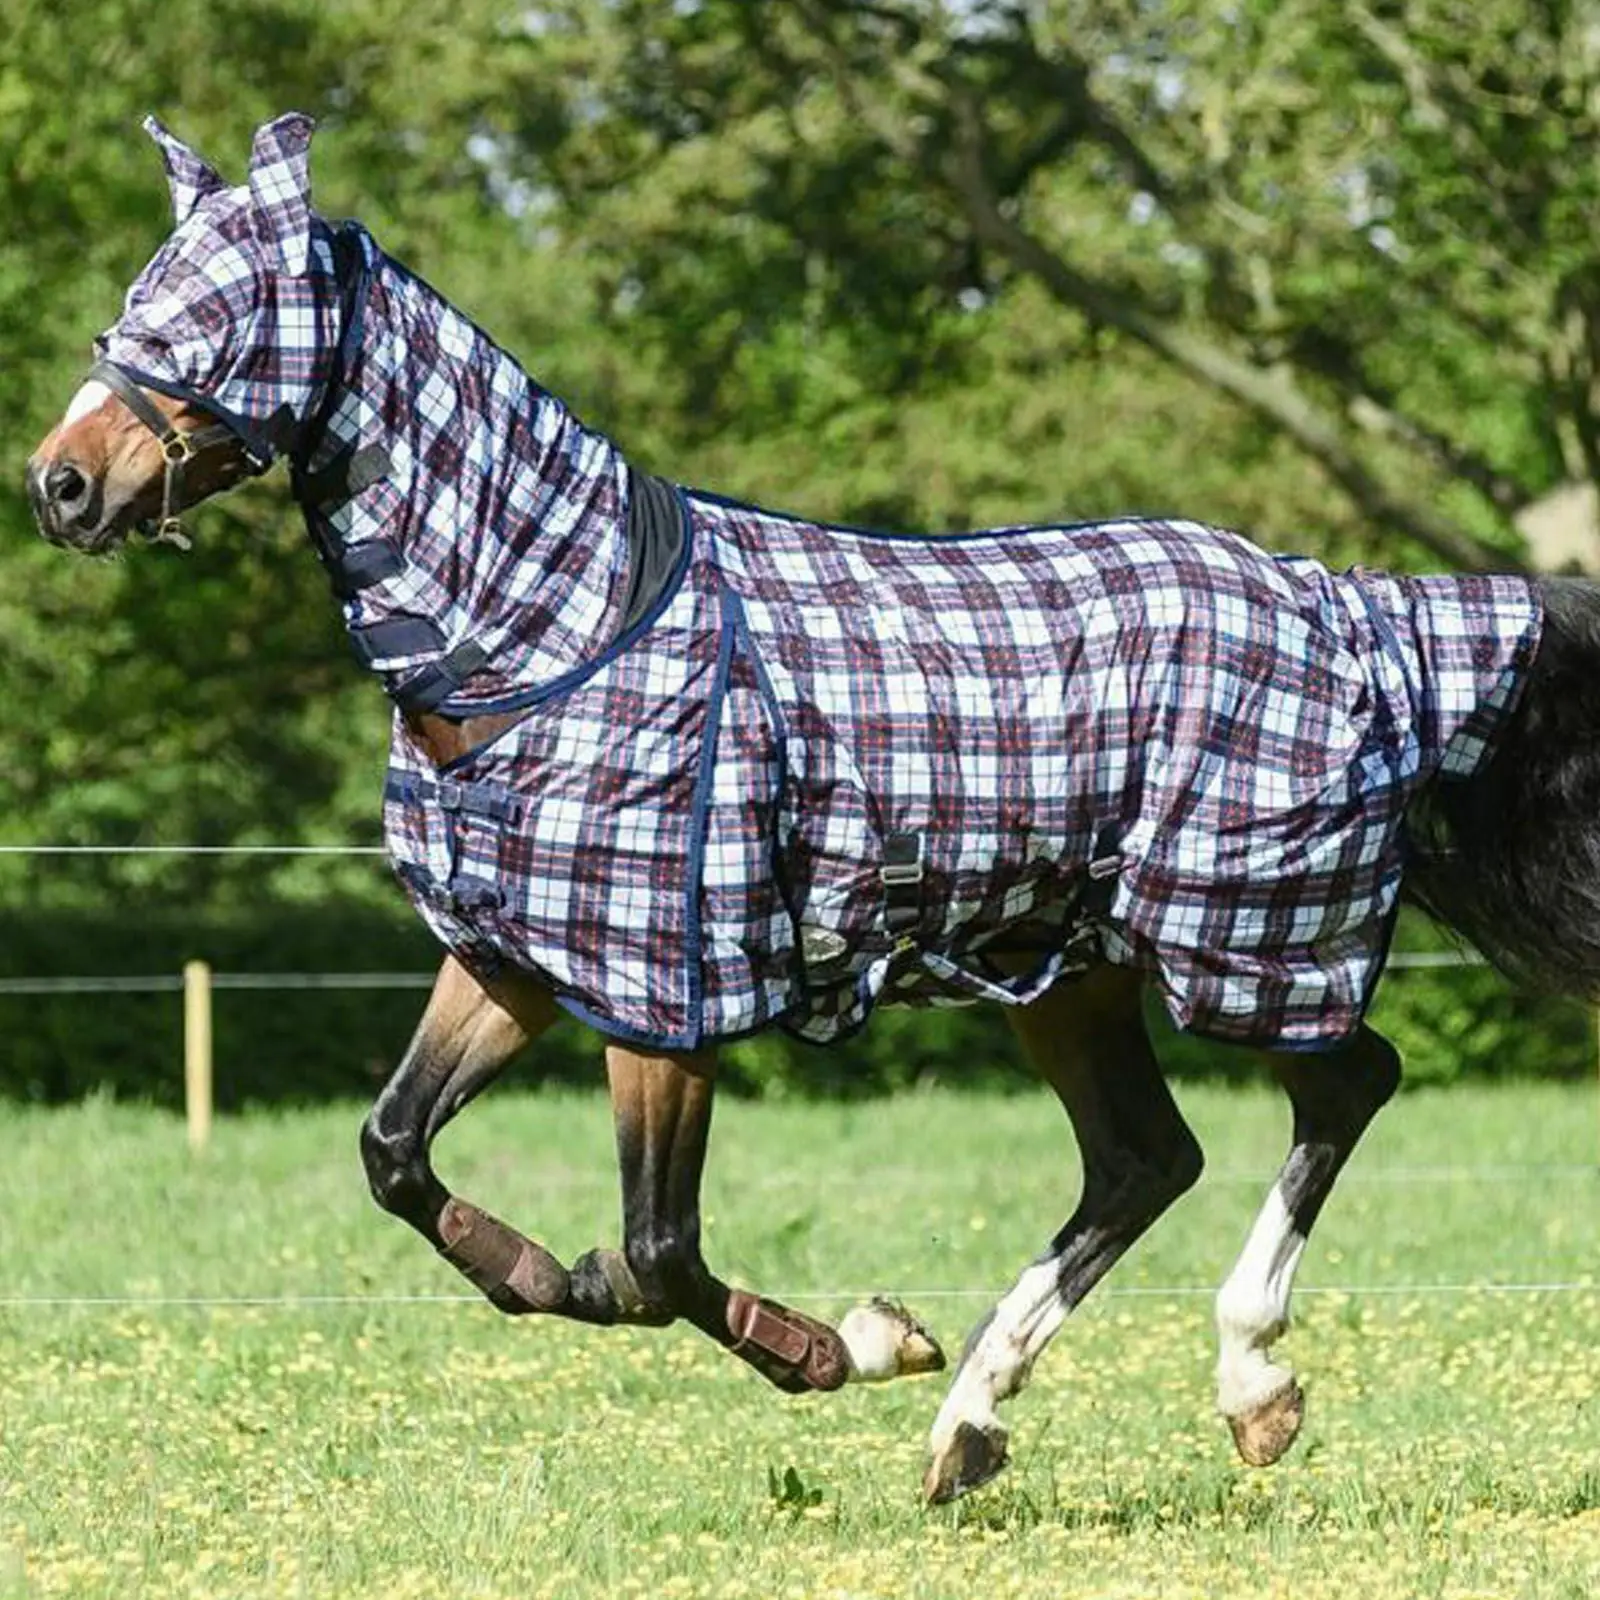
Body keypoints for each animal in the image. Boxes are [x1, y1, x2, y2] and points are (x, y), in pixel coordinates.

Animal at [26, 114, 1600, 1506]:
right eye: (132, 306)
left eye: (221, 314)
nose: (62, 484)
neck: (552, 636)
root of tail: (1344, 602)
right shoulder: (514, 956)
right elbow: (399, 1157)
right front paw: (557, 1275)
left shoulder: (665, 991)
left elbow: (656, 1251)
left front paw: (843, 1345)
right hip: (1067, 969)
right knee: (1144, 1159)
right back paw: (969, 1424)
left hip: (1239, 939)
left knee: (1342, 1087)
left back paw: (1248, 1385)